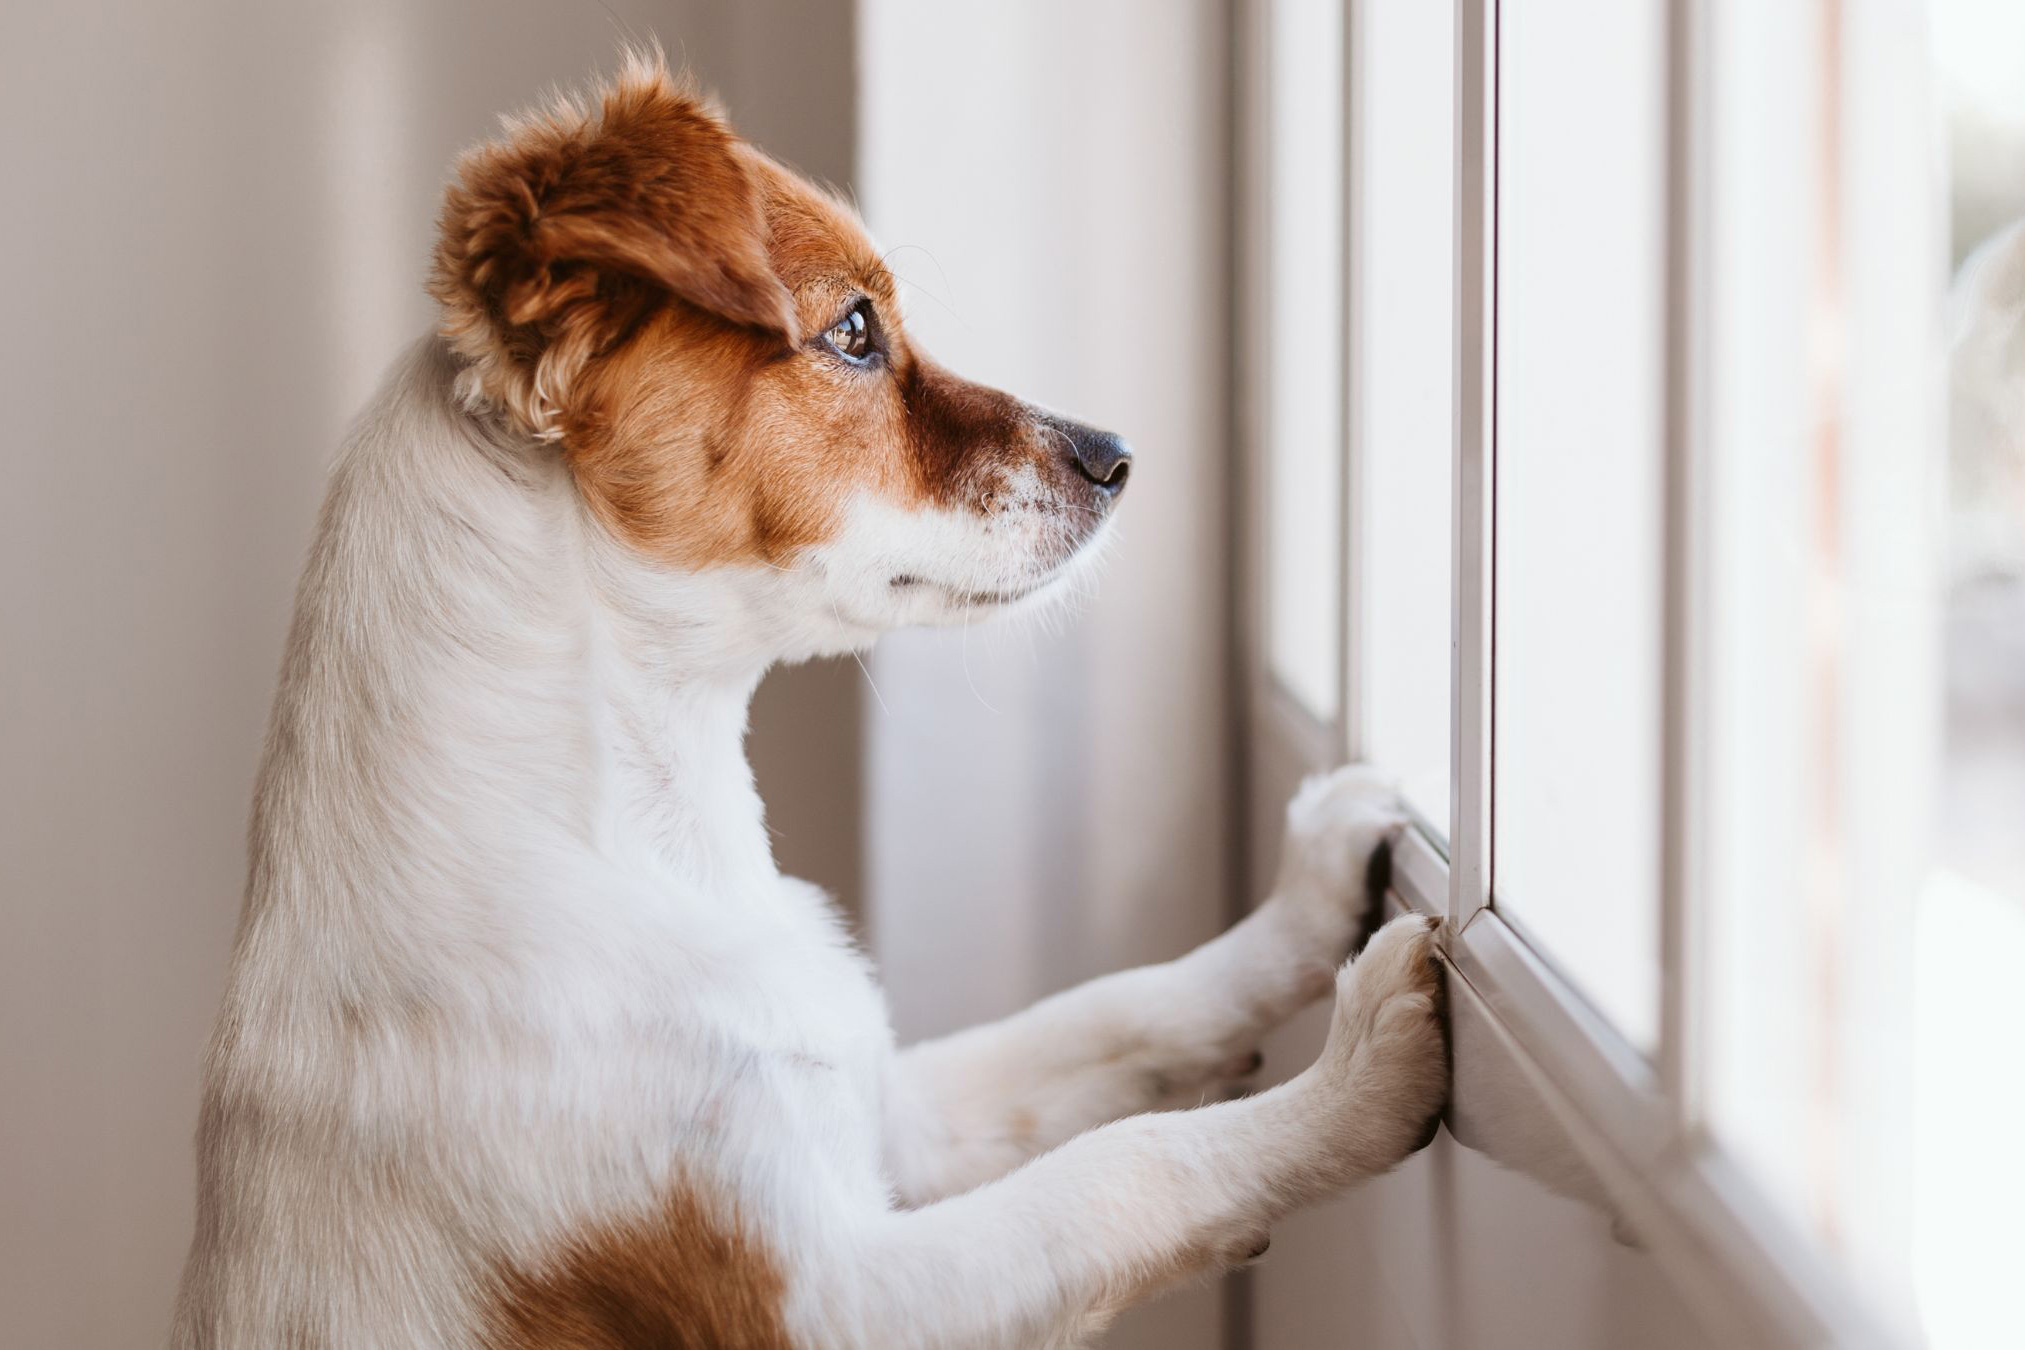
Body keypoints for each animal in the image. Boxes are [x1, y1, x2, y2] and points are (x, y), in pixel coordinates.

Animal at [166, 52, 1449, 1350]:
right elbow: (1126, 1169)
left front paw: (1308, 896)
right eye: (853, 332)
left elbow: (1120, 1013)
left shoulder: (890, 1111)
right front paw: (1356, 1077)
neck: (653, 842)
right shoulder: (830, 1298)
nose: (1118, 456)